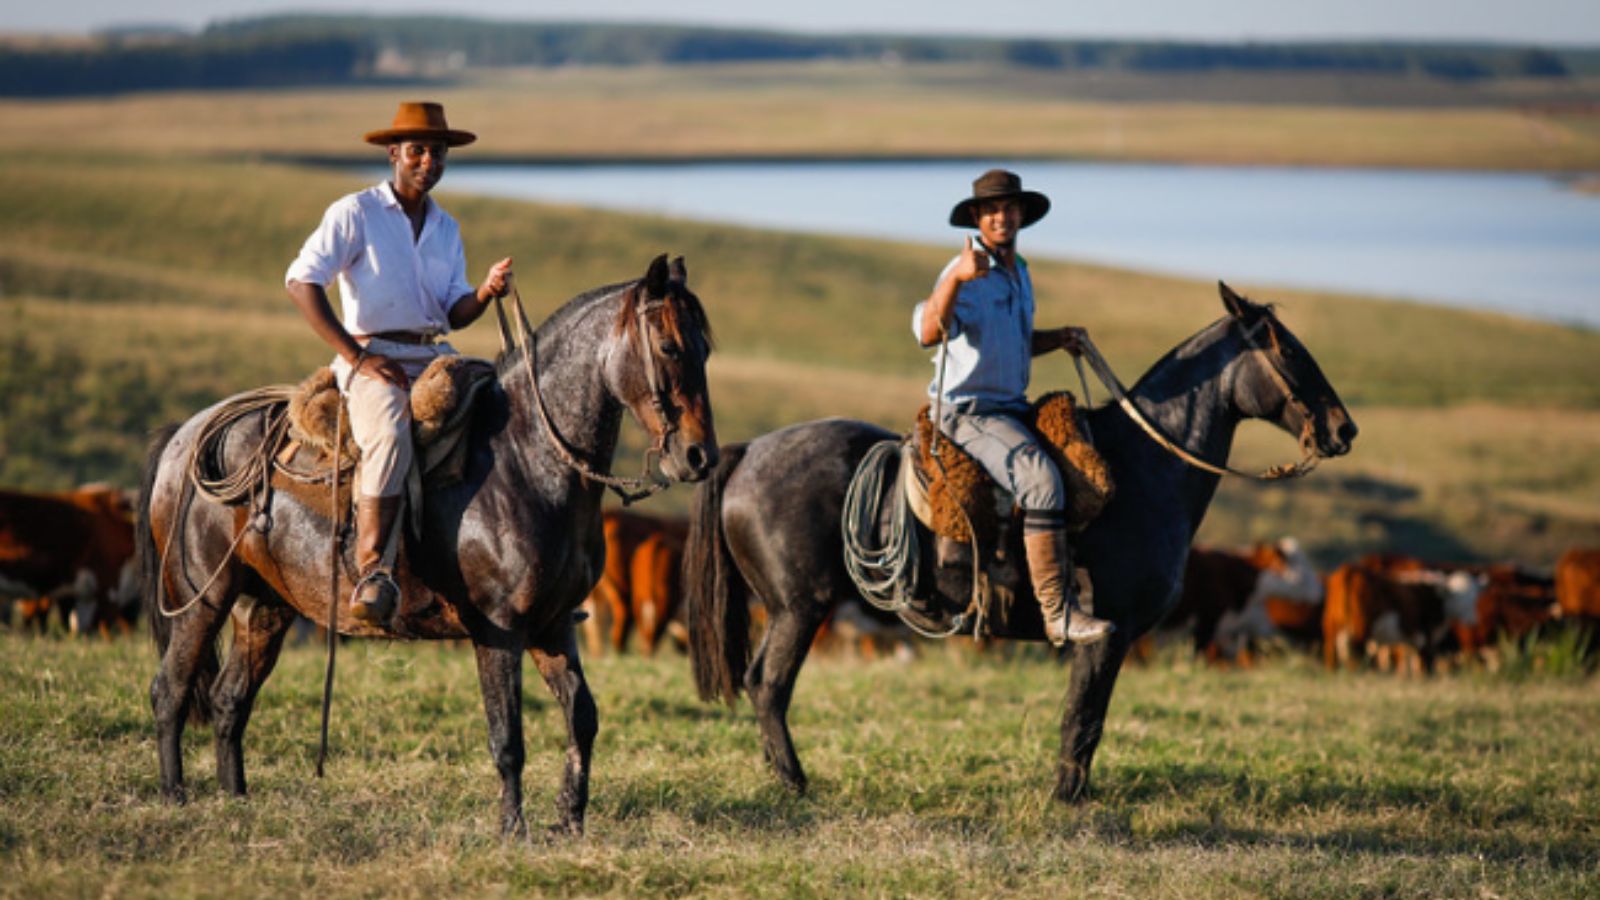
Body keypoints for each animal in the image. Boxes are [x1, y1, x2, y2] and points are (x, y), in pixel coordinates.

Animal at [140, 253, 716, 832]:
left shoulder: (553, 625)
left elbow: (582, 718)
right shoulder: (499, 630)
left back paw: (235, 799)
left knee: (229, 699)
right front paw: (514, 829)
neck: (525, 460)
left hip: (264, 607)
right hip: (201, 601)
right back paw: (173, 797)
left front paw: (570, 821)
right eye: (669, 347)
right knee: (171, 691)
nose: (699, 456)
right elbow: (508, 737)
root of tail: (186, 435)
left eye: (706, 349)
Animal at [681, 281, 1356, 797]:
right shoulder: (1107, 635)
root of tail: (748, 453)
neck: (1143, 467)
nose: (1342, 428)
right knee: (769, 686)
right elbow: (1083, 720)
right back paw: (796, 784)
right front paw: (1070, 799)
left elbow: (1084, 720)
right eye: (1288, 351)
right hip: (799, 608)